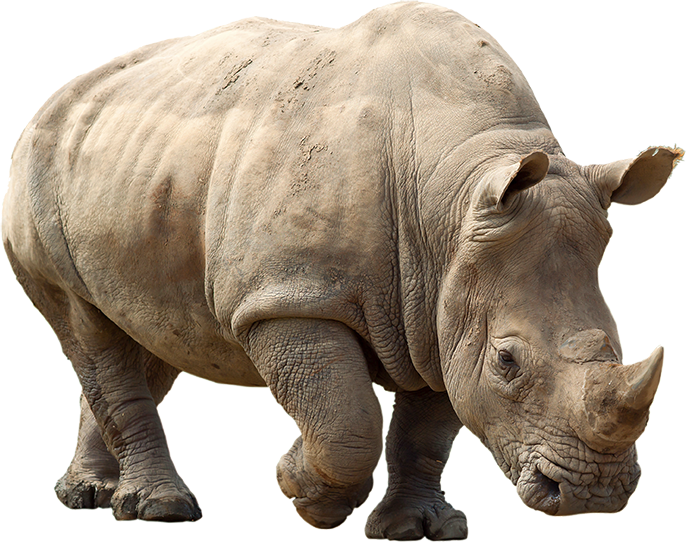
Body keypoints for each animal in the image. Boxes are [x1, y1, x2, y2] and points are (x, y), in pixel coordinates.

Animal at [2, 2, 682, 540]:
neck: (453, 197)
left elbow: (427, 431)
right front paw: (301, 490)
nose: (594, 495)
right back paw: (159, 510)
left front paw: (420, 528)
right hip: (35, 172)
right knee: (88, 330)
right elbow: (347, 418)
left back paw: (86, 497)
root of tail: (52, 102)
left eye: (617, 345)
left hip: (132, 166)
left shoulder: (444, 304)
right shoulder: (290, 296)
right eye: (507, 362)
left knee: (150, 336)